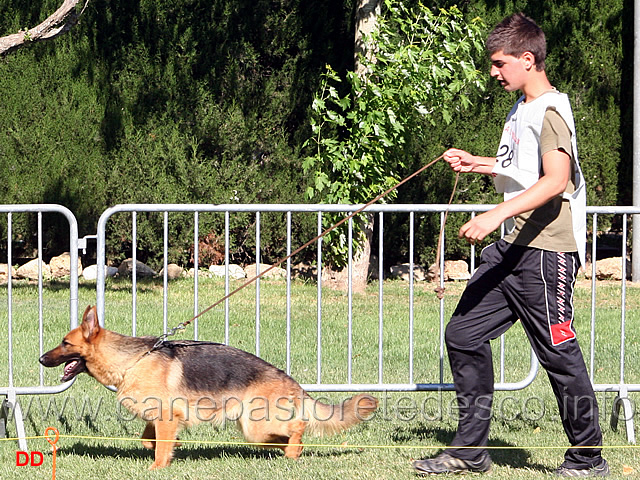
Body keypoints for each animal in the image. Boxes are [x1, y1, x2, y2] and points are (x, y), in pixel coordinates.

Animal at [40, 308, 378, 468]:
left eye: (65, 343)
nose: (41, 359)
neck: (132, 360)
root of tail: (290, 380)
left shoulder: (166, 417)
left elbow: (159, 448)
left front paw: (157, 468)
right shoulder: (161, 418)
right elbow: (149, 440)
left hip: (256, 426)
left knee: (299, 425)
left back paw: (294, 451)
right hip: (256, 430)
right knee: (284, 435)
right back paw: (288, 451)